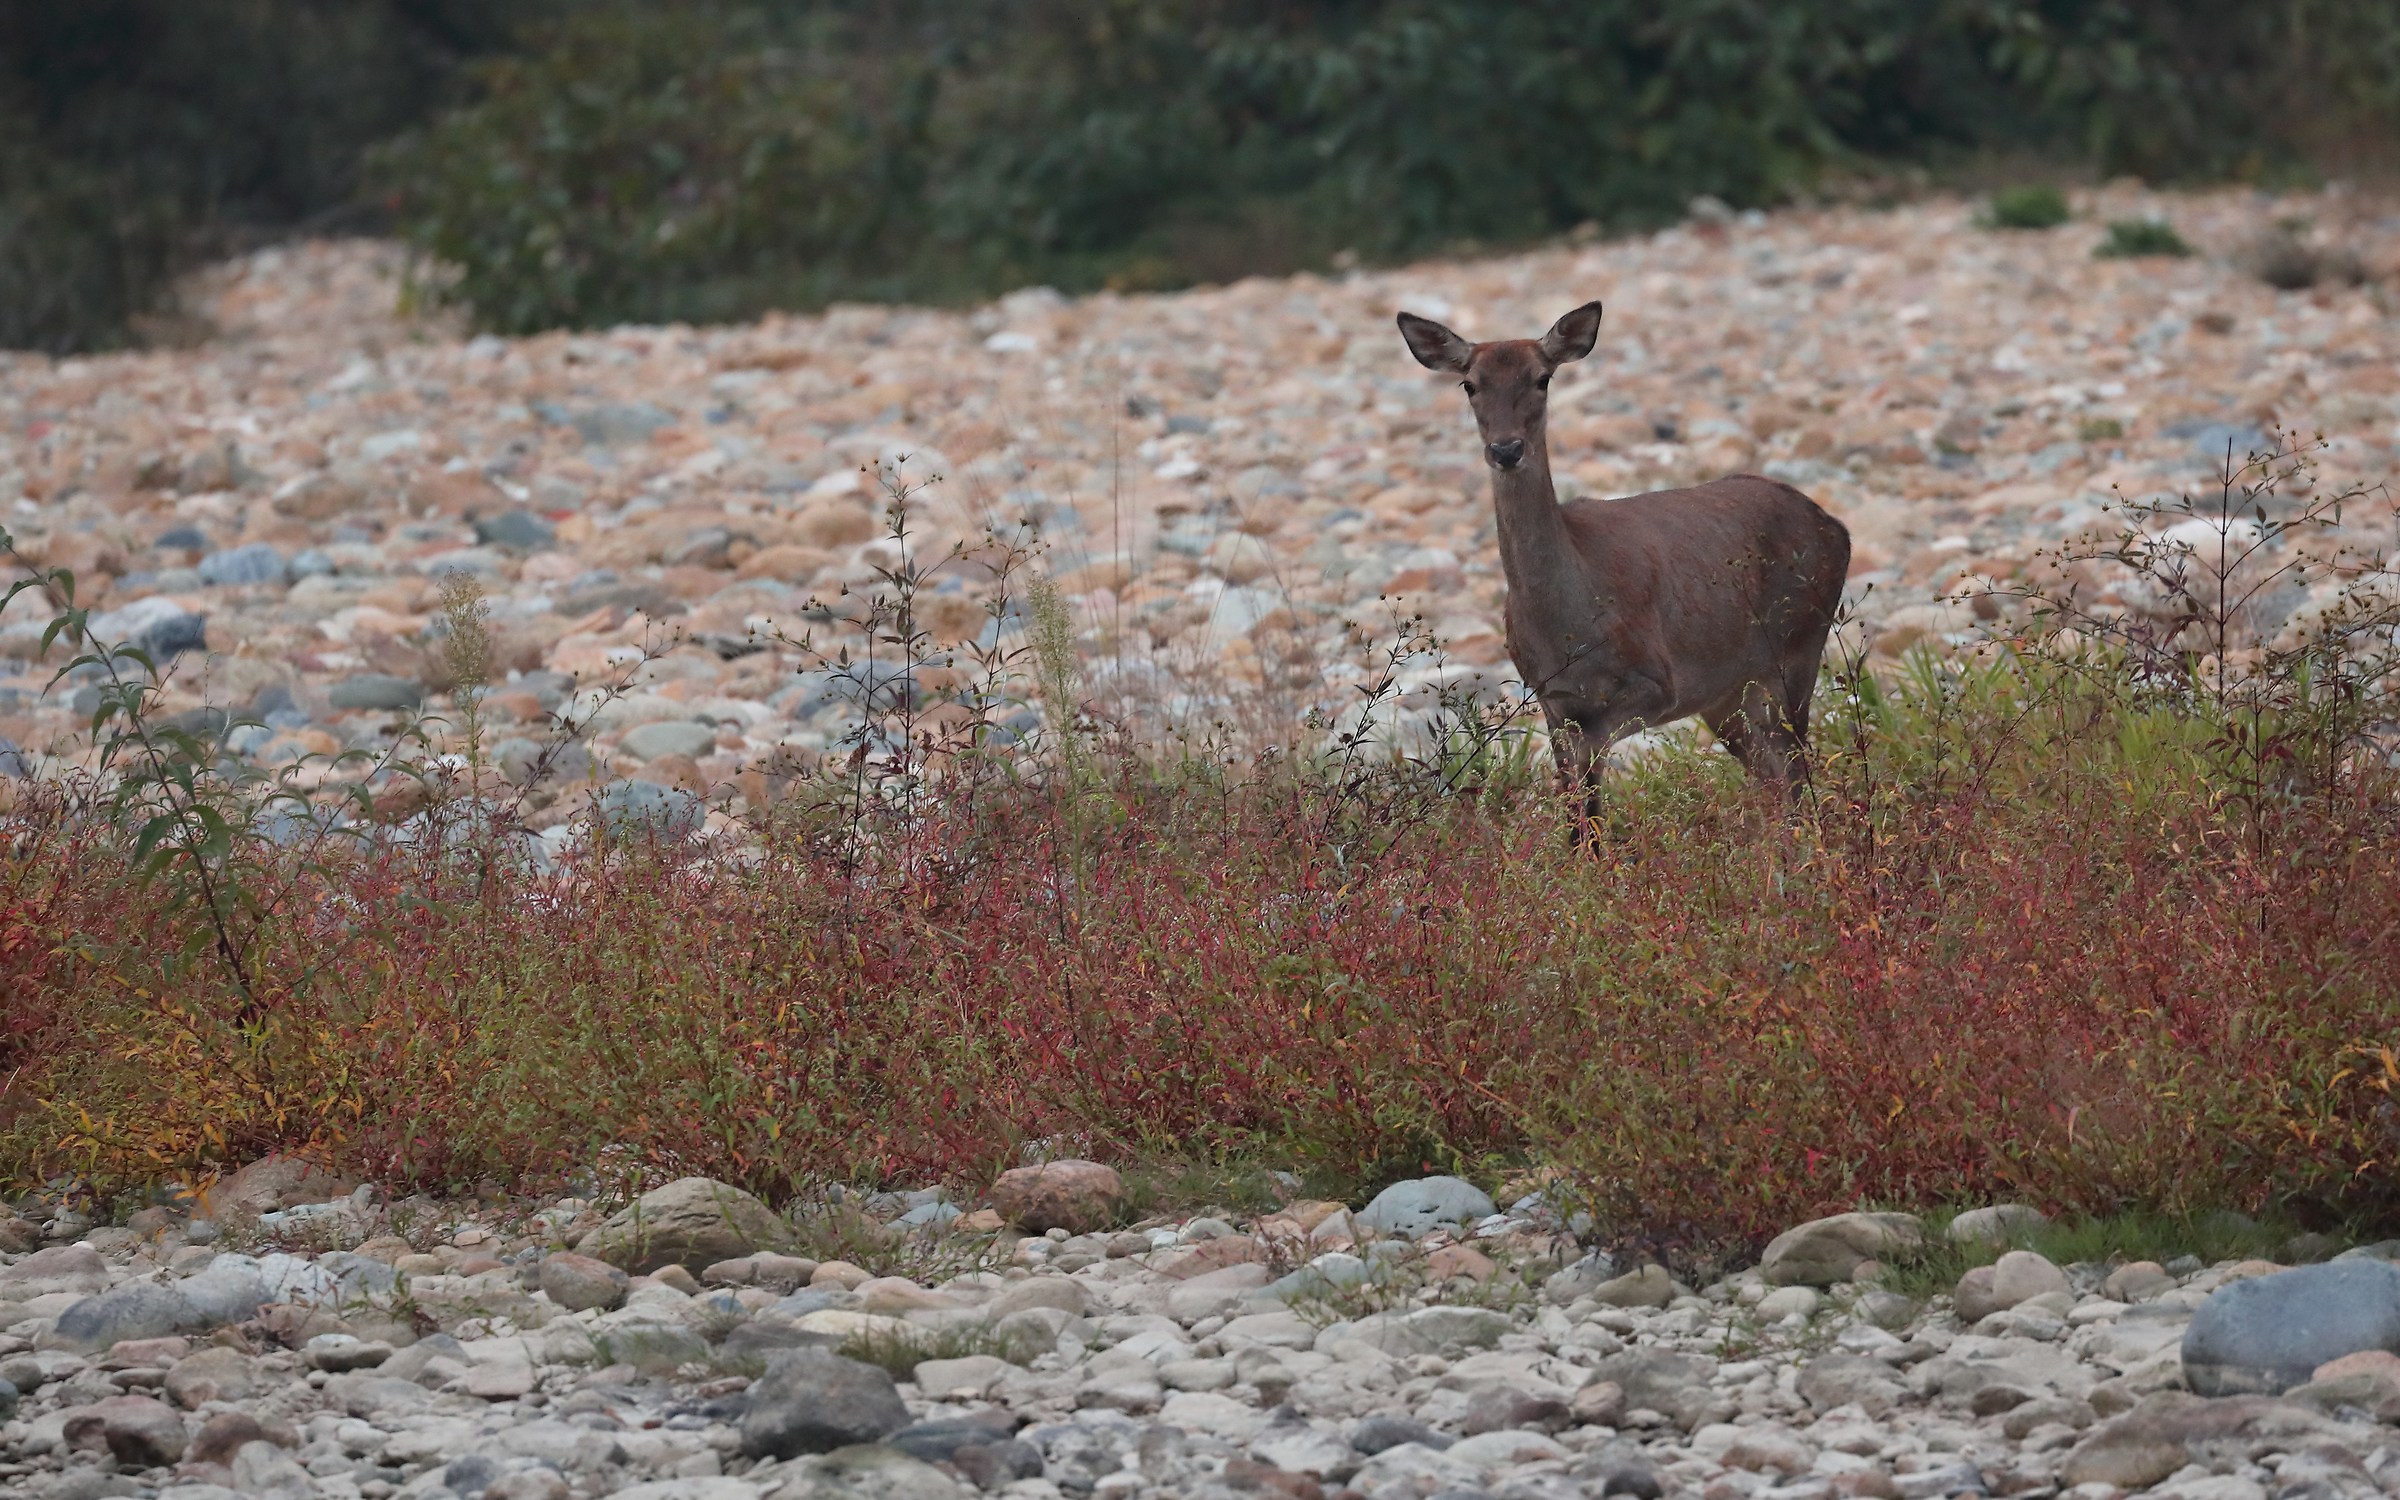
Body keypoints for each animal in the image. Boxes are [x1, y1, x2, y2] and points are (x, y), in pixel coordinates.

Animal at [1397, 300, 1850, 828]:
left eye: (1542, 377)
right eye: (1470, 384)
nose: (1506, 450)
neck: (1568, 626)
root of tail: (1836, 527)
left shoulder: (1656, 682)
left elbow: (1589, 788)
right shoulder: (1550, 699)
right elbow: (1579, 819)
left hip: (1798, 645)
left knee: (1796, 769)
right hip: (1726, 693)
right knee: (1776, 778)